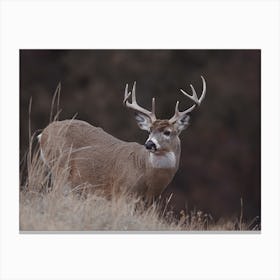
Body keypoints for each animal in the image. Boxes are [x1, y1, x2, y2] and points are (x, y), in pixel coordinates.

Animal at [37, 76, 206, 202]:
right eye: (150, 130)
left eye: (167, 132)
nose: (149, 144)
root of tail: (44, 133)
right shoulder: (122, 192)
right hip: (60, 167)